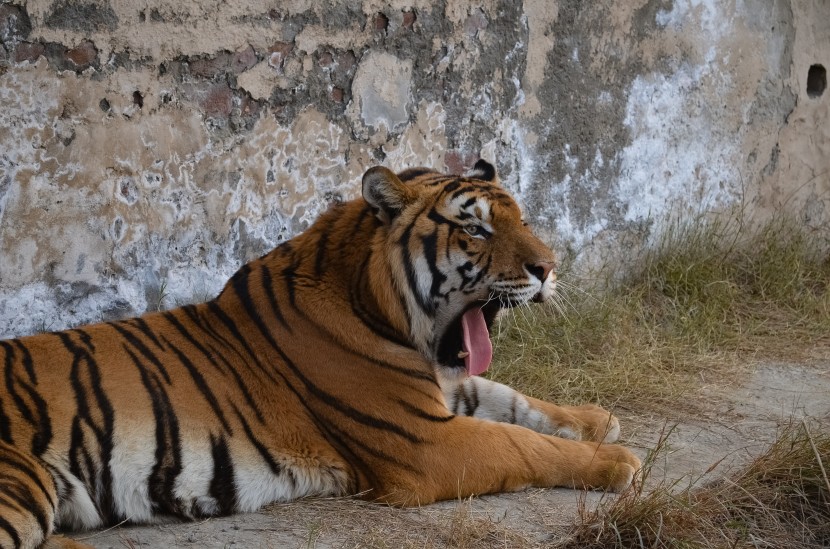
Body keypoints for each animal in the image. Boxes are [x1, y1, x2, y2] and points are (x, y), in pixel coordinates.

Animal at [0, 161, 644, 544]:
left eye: (523, 219)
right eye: (476, 230)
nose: (548, 268)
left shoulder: (442, 390)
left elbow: (509, 398)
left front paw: (596, 420)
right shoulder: (425, 443)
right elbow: (521, 443)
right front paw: (618, 461)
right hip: (19, 485)